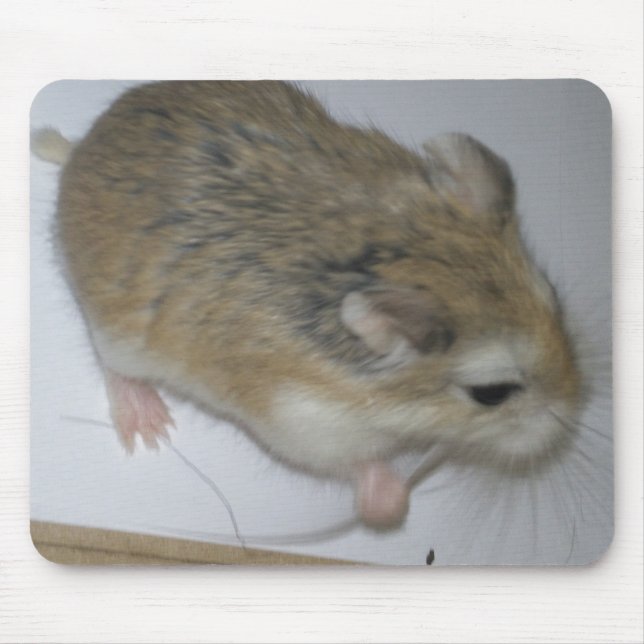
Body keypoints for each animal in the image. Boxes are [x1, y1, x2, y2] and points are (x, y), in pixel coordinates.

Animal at [32, 81, 582, 529]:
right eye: (491, 394)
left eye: (556, 300)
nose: (568, 422)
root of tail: (81, 151)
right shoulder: (304, 424)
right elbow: (359, 466)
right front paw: (391, 501)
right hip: (120, 335)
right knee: (114, 367)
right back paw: (149, 424)